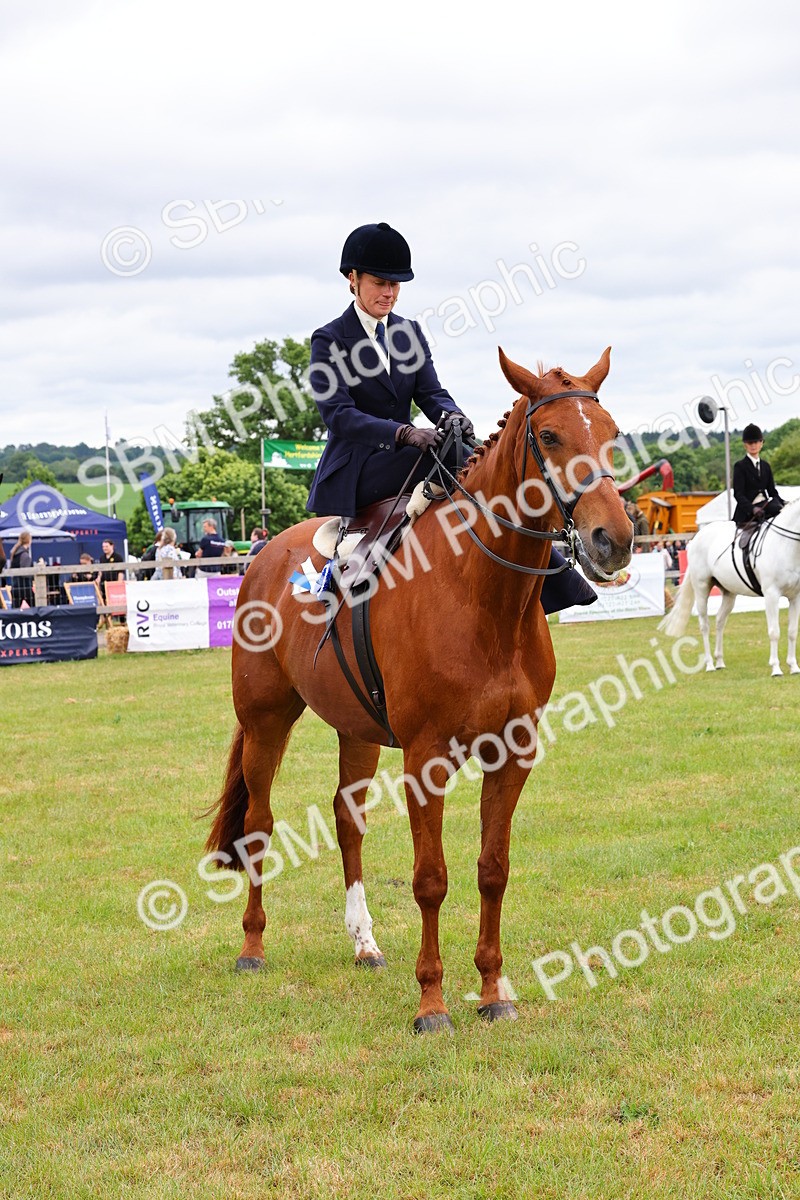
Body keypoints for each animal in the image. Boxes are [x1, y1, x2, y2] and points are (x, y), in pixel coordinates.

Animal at [205, 347, 633, 1033]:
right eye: (548, 436)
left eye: (612, 432)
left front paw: (492, 990)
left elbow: (493, 870)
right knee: (258, 825)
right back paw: (252, 947)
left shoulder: (513, 753)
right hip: (266, 720)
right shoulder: (425, 757)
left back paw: (364, 943)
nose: (612, 539)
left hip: (354, 728)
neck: (480, 592)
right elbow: (431, 878)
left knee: (347, 821)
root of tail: (266, 554)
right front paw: (432, 1002)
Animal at [660, 502, 800, 676]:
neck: (784, 545)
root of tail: (696, 538)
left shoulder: (795, 597)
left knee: (720, 621)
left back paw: (719, 661)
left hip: (728, 593)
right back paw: (709, 664)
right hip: (701, 588)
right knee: (704, 625)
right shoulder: (771, 595)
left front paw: (794, 666)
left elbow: (792, 632)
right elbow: (774, 632)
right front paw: (775, 668)